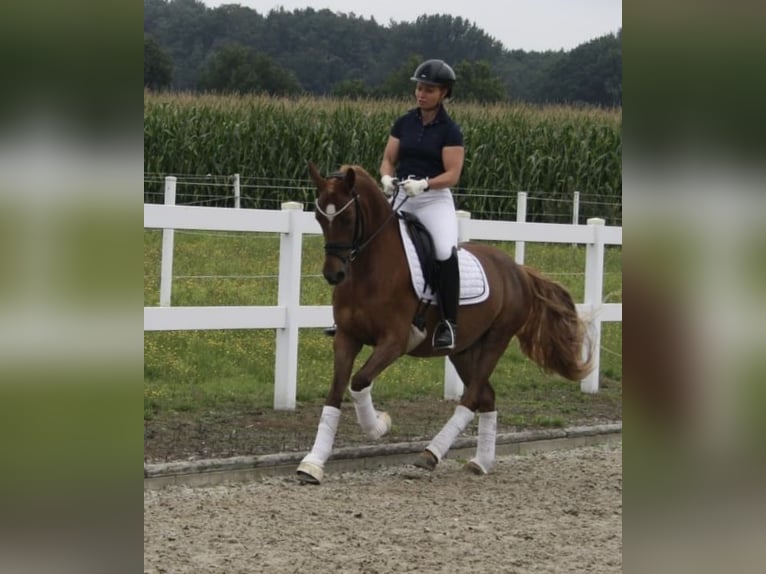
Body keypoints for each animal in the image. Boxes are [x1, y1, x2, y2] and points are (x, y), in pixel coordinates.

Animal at [298, 163, 592, 486]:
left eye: (348, 217)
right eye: (319, 217)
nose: (334, 275)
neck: (369, 270)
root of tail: (517, 270)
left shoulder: (394, 341)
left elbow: (360, 381)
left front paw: (380, 426)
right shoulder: (347, 337)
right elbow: (336, 392)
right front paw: (313, 463)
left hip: (496, 339)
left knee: (472, 396)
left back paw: (432, 453)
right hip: (463, 350)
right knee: (487, 396)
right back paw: (480, 462)